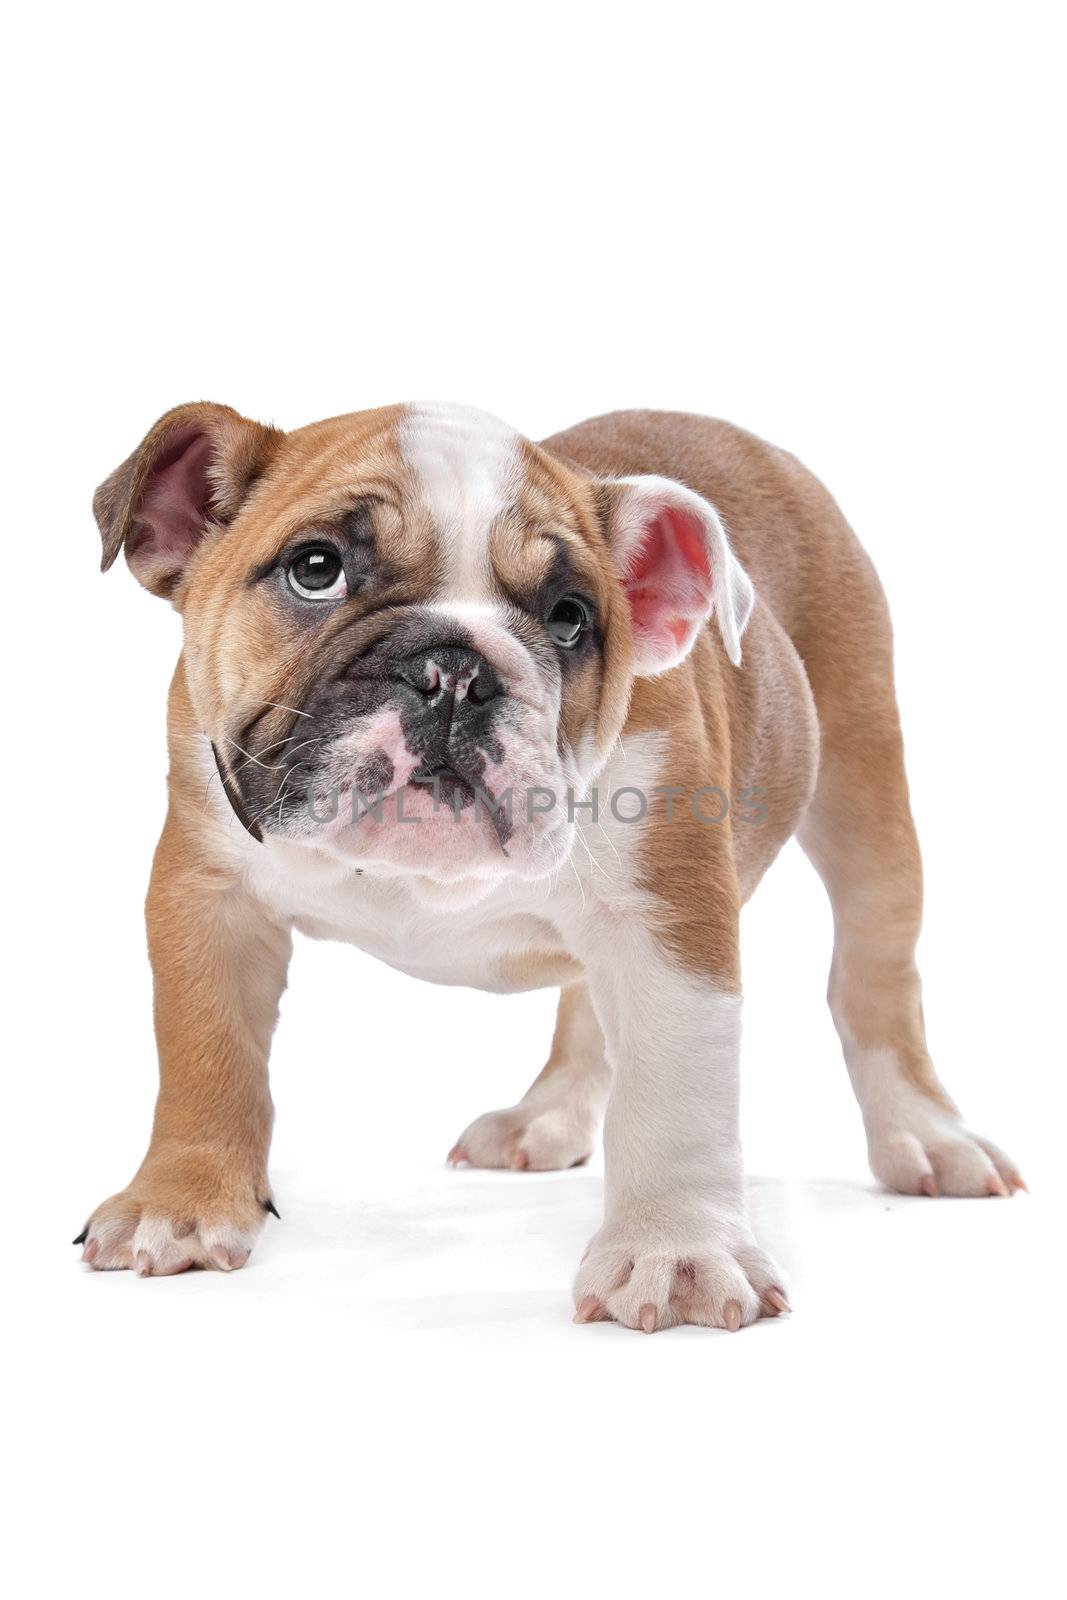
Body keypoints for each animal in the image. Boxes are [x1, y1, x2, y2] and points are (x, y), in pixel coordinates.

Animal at [79, 406, 1023, 1331]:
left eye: (569, 617)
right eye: (316, 569)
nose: (455, 669)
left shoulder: (668, 924)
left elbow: (674, 1093)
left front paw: (676, 1252)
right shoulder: (210, 898)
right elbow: (209, 1056)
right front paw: (181, 1202)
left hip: (866, 795)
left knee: (874, 977)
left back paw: (928, 1136)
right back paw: (548, 1118)